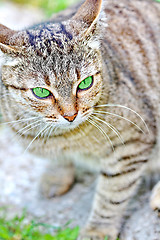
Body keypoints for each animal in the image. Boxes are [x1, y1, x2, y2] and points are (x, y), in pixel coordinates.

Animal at [0, 0, 160, 239]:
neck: (64, 136)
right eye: (41, 92)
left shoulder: (130, 146)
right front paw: (56, 175)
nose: (70, 115)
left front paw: (98, 229)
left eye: (85, 83)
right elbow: (58, 159)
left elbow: (112, 193)